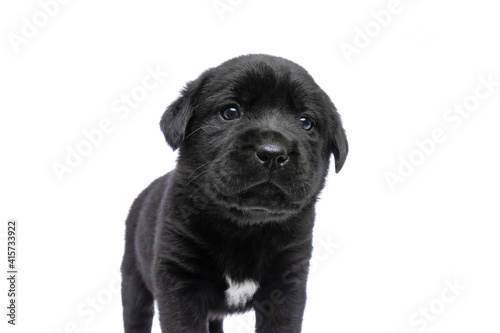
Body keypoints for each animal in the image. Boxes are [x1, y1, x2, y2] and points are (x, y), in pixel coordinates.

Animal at [121, 53, 348, 330]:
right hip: (133, 281)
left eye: (306, 122)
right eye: (230, 112)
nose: (272, 153)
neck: (244, 225)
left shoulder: (288, 283)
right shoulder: (178, 279)